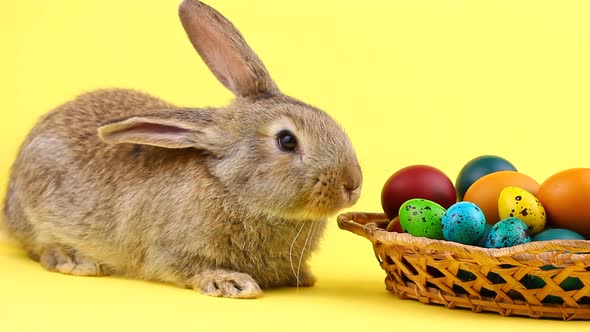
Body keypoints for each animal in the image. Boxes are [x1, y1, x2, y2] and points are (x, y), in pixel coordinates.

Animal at [1, 0, 366, 300]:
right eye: (287, 141)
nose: (352, 183)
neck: (231, 188)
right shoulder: (170, 252)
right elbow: (188, 268)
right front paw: (231, 283)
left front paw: (304, 277)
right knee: (41, 248)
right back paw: (75, 260)